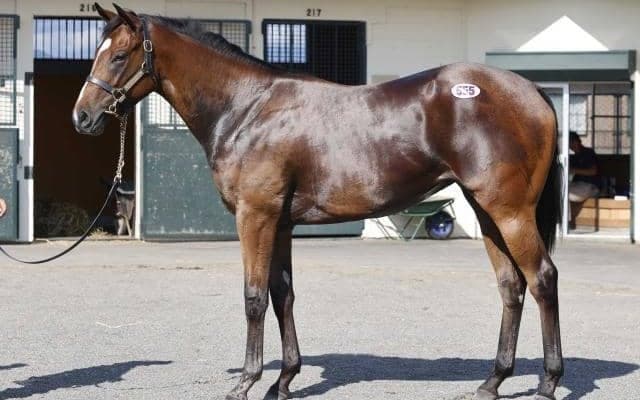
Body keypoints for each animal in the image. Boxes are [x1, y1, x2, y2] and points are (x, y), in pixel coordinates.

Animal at [73, 4, 564, 400]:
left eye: (119, 56)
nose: (82, 117)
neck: (247, 109)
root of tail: (531, 90)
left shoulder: (256, 217)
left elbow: (254, 297)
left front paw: (246, 382)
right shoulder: (281, 223)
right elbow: (282, 294)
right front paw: (284, 380)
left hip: (510, 212)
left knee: (541, 279)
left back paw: (548, 382)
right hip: (486, 212)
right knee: (511, 286)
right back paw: (492, 382)